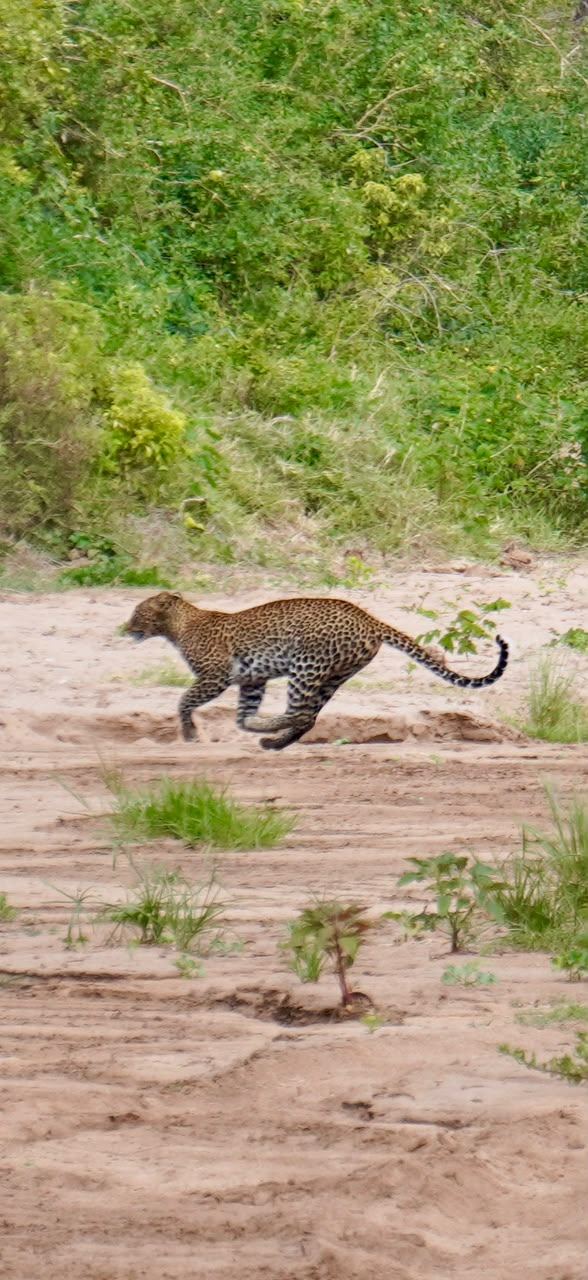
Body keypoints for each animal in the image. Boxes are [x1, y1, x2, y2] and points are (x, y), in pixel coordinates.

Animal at [122, 591, 509, 750]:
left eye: (137, 612)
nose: (125, 628)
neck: (179, 626)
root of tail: (368, 617)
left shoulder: (215, 676)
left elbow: (185, 701)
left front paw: (189, 733)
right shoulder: (252, 680)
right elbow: (242, 716)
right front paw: (250, 724)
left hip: (306, 666)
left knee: (302, 714)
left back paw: (274, 735)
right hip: (335, 675)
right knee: (308, 717)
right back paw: (274, 741)